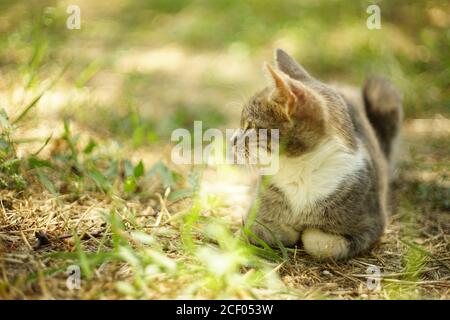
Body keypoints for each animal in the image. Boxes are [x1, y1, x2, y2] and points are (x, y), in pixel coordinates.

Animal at [236, 48, 404, 262]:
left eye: (250, 126)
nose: (232, 139)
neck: (299, 169)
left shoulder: (370, 223)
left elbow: (317, 242)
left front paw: (307, 232)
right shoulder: (255, 215)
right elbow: (264, 230)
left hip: (382, 90)